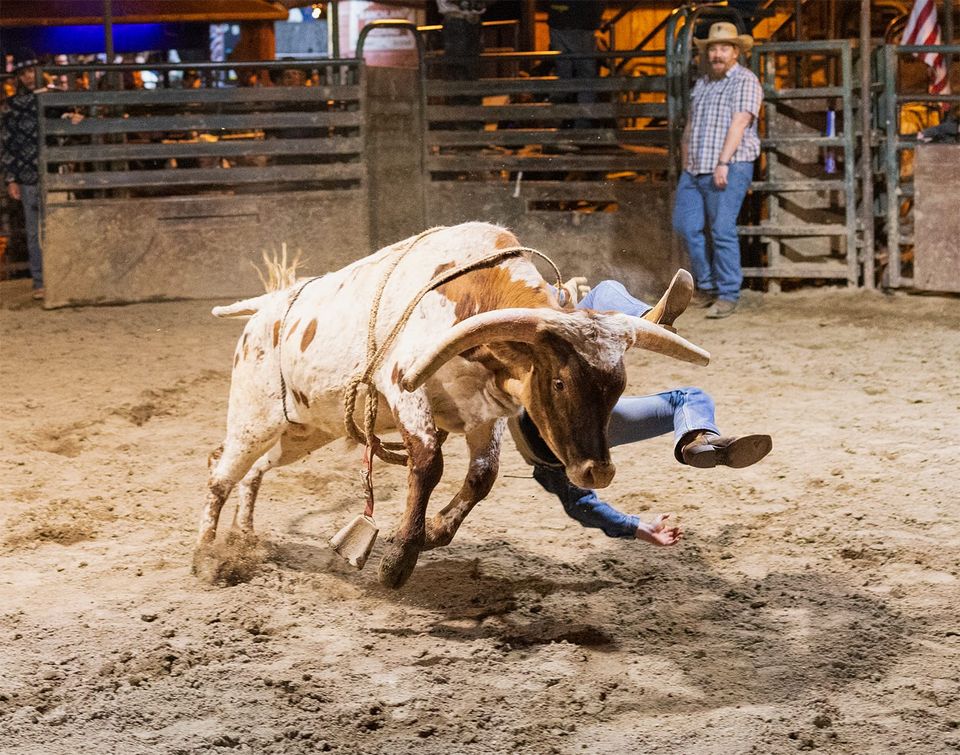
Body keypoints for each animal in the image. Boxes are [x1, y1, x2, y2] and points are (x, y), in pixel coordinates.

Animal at [198, 222, 709, 588]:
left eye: (619, 386)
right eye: (560, 381)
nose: (597, 472)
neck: (470, 293)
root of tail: (266, 309)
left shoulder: (488, 412)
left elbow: (482, 475)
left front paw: (433, 532)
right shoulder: (405, 389)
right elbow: (428, 464)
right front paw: (398, 559)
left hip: (303, 430)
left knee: (253, 469)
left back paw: (245, 537)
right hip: (253, 417)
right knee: (221, 473)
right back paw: (207, 557)